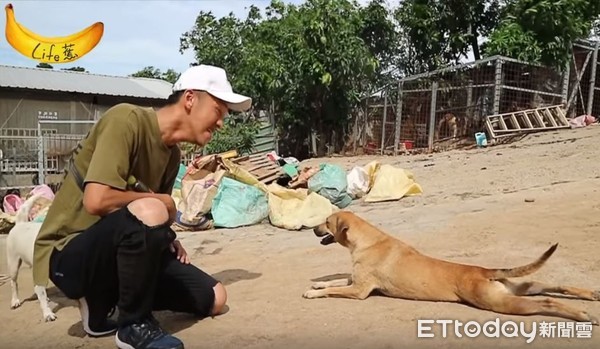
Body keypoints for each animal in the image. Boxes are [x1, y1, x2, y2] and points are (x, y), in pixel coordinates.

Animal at [304, 209, 600, 324]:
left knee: (546, 302)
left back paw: (584, 315)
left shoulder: (359, 291)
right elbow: (333, 281)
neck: (367, 240)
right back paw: (591, 295)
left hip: (501, 303)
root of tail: (484, 271)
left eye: (326, 222)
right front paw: (316, 284)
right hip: (521, 287)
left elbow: (332, 290)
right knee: (556, 285)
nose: (311, 228)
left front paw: (314, 292)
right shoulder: (355, 281)